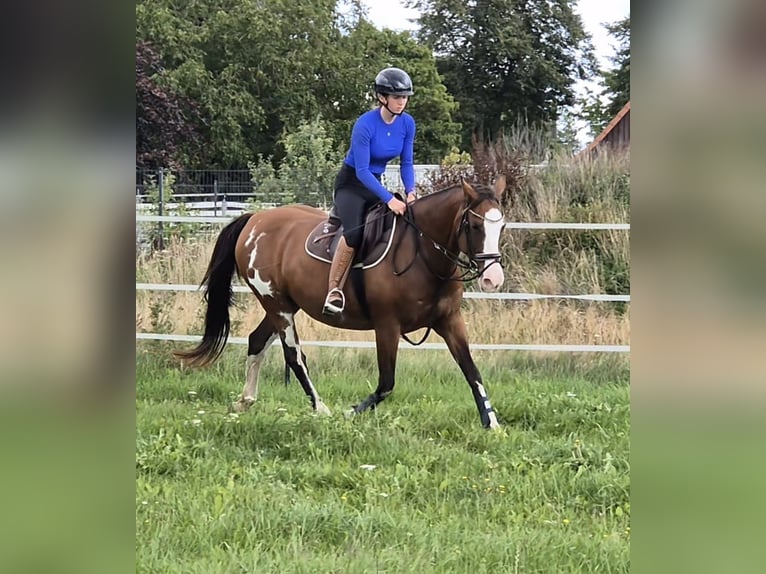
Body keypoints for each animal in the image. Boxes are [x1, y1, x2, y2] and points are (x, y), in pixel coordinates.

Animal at [174, 176, 508, 428]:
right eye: (475, 226)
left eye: (501, 226)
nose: (494, 279)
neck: (421, 252)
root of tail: (255, 220)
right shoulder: (387, 326)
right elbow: (386, 383)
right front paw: (350, 412)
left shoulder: (449, 320)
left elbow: (471, 370)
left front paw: (492, 423)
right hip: (277, 305)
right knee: (294, 357)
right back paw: (321, 408)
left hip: (283, 305)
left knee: (257, 341)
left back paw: (246, 400)